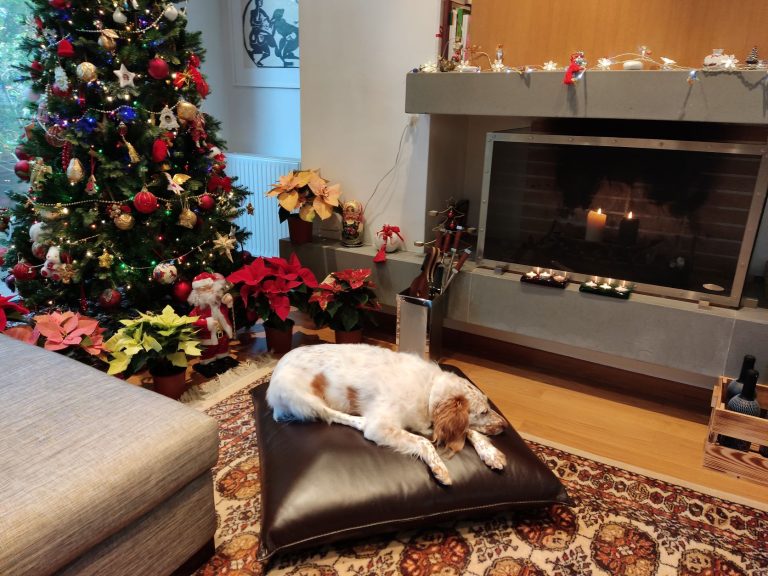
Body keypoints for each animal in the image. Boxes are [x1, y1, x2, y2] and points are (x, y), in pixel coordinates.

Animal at [268, 344, 508, 484]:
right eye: (484, 411)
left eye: (488, 407)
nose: (506, 426)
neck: (428, 391)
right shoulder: (382, 426)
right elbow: (424, 442)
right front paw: (439, 467)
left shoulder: (435, 425)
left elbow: (467, 431)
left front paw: (491, 453)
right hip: (305, 398)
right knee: (334, 415)